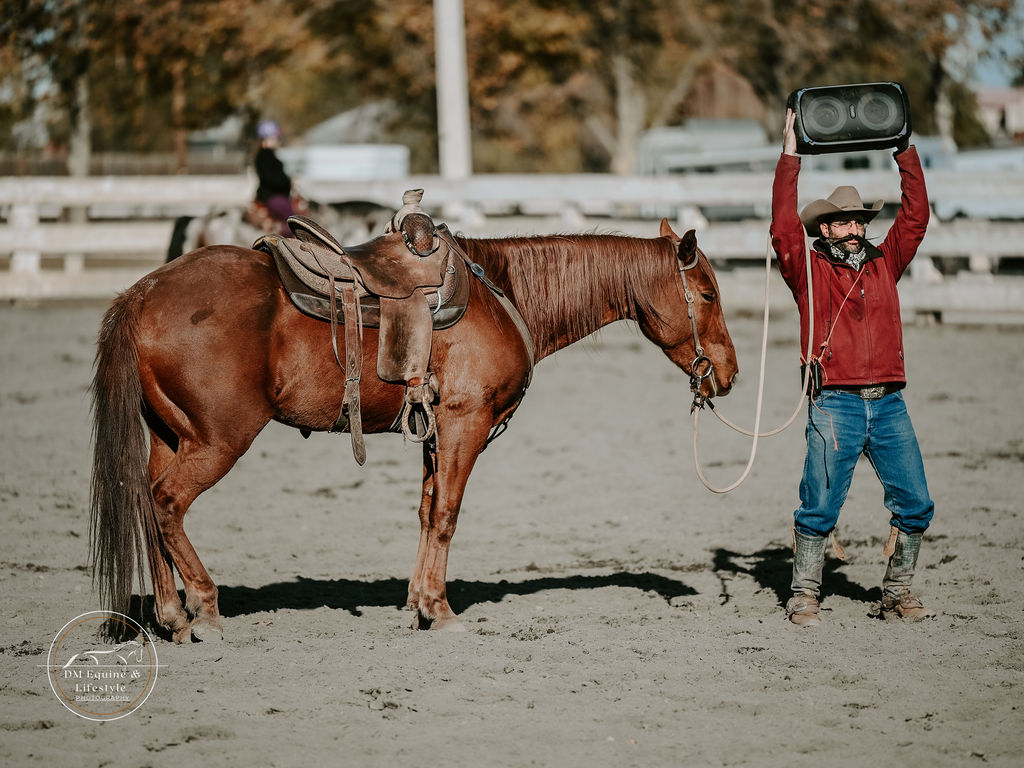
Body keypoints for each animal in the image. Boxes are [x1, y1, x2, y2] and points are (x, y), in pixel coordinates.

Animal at [90, 216, 738, 642]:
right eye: (707, 292)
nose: (728, 373)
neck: (501, 293)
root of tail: (142, 293)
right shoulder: (464, 424)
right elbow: (448, 513)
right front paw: (442, 609)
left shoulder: (434, 430)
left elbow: (428, 511)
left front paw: (418, 605)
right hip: (218, 439)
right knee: (168, 503)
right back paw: (203, 608)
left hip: (170, 435)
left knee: (147, 503)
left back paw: (171, 616)